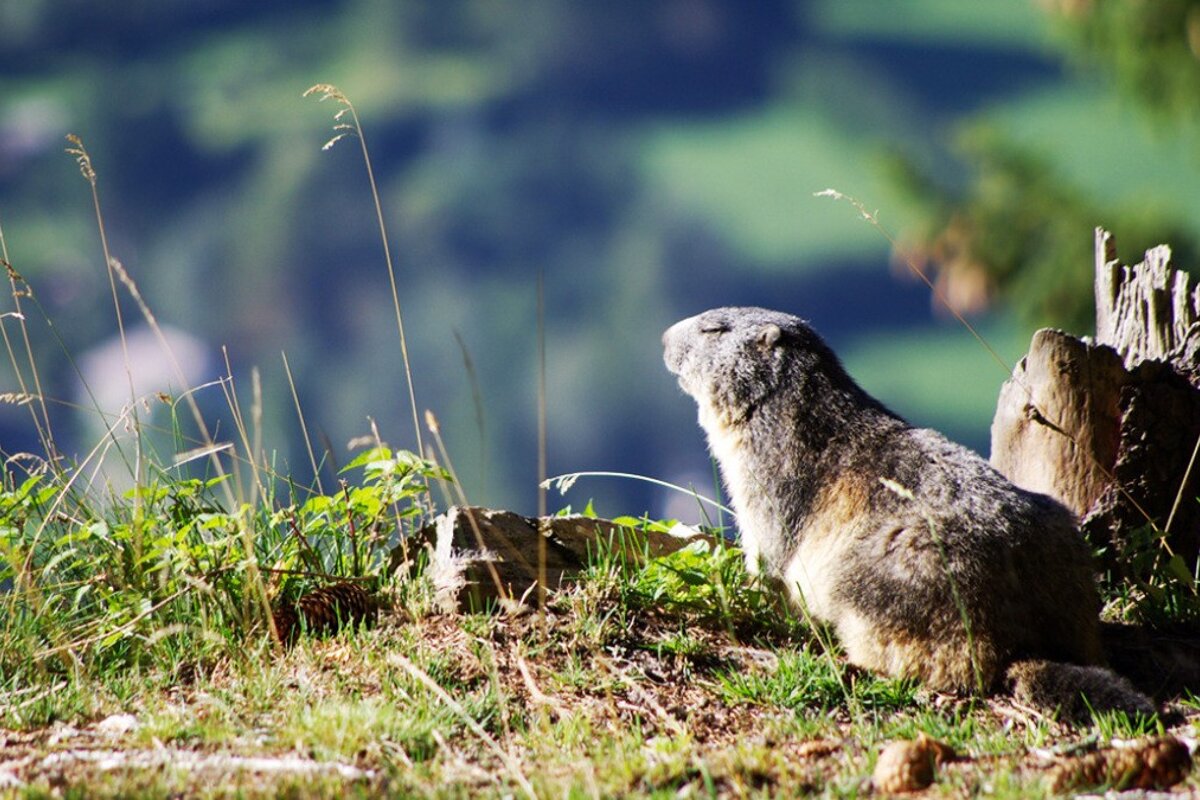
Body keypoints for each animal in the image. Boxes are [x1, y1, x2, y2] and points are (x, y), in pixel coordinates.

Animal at [663, 306, 1155, 719]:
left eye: (714, 329)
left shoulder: (762, 471)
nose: (664, 337)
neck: (783, 402)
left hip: (871, 581)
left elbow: (766, 546)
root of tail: (1028, 641)